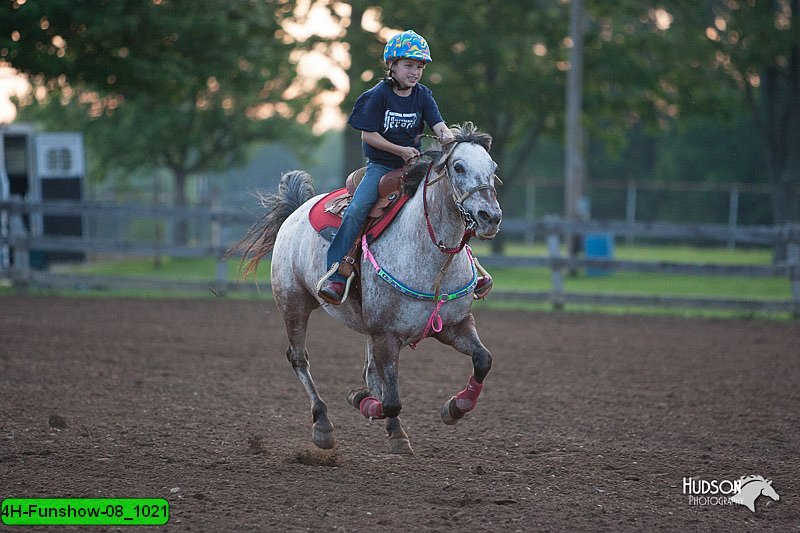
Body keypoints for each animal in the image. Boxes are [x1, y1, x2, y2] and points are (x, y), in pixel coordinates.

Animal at [231, 121, 504, 454]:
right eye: (459, 166)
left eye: (492, 167)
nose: (490, 217)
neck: (432, 260)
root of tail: (295, 212)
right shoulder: (385, 335)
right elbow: (391, 401)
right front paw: (359, 399)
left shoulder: (454, 325)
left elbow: (483, 360)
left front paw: (454, 408)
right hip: (293, 303)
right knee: (299, 359)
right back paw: (323, 424)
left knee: (371, 374)